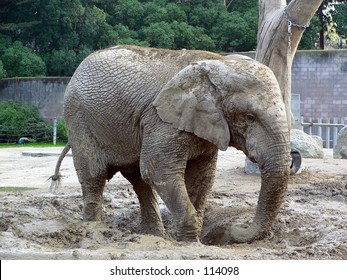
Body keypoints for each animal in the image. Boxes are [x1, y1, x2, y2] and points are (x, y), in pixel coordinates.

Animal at [50, 44, 292, 244]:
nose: (233, 230)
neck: (218, 62)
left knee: (139, 179)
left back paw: (153, 235)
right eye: (250, 117)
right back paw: (94, 229)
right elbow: (158, 169)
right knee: (95, 176)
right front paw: (189, 242)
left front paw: (192, 239)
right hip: (78, 119)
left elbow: (202, 177)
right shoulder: (162, 120)